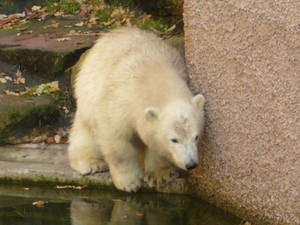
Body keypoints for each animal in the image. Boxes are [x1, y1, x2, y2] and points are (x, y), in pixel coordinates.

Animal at [68, 26, 205, 192]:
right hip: (88, 91)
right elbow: (116, 139)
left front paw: (159, 176)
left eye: (196, 136)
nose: (191, 164)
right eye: (174, 140)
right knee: (86, 130)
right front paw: (129, 182)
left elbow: (154, 143)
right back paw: (91, 162)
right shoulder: (119, 99)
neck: (154, 72)